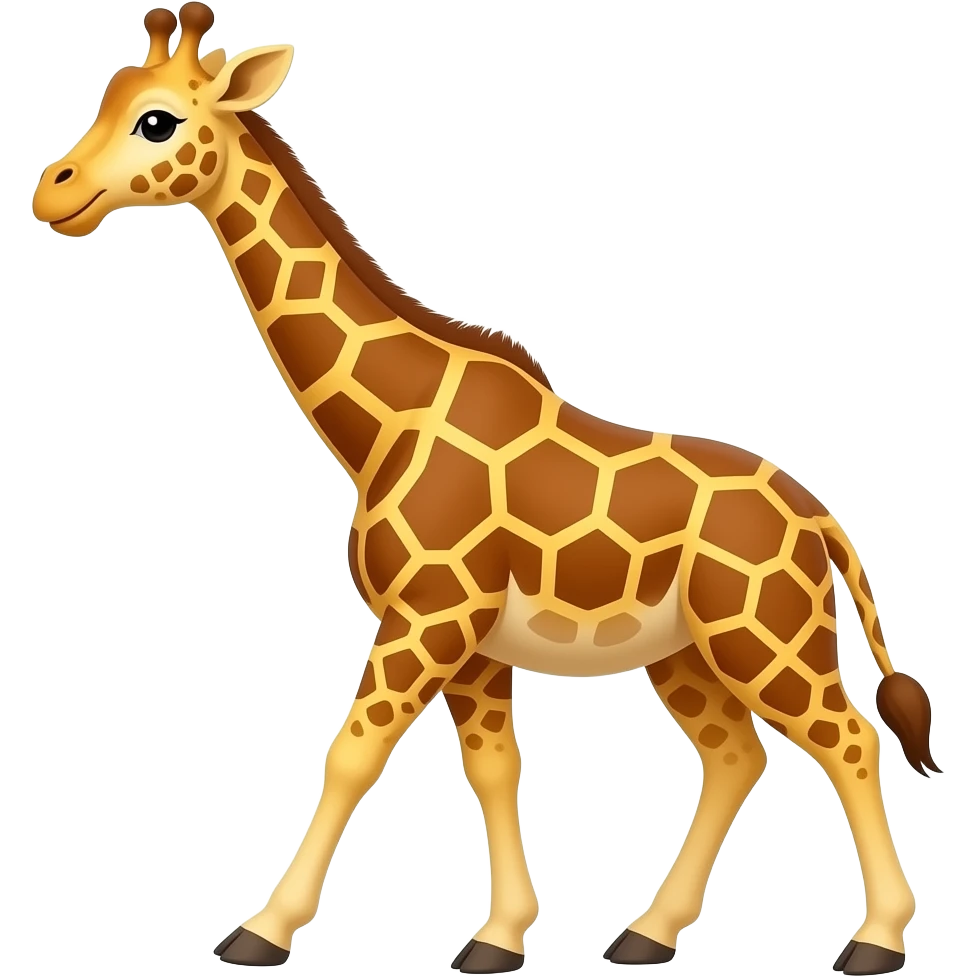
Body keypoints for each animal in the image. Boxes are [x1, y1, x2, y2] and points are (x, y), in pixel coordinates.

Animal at [31, 4, 941, 974]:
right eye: (108, 98)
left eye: (157, 120)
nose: (53, 193)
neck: (384, 423)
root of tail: (819, 518)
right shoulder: (469, 641)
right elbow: (493, 767)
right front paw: (498, 937)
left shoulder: (428, 615)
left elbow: (349, 753)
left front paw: (260, 931)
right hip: (686, 650)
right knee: (736, 757)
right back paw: (645, 935)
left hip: (765, 634)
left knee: (847, 740)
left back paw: (874, 940)